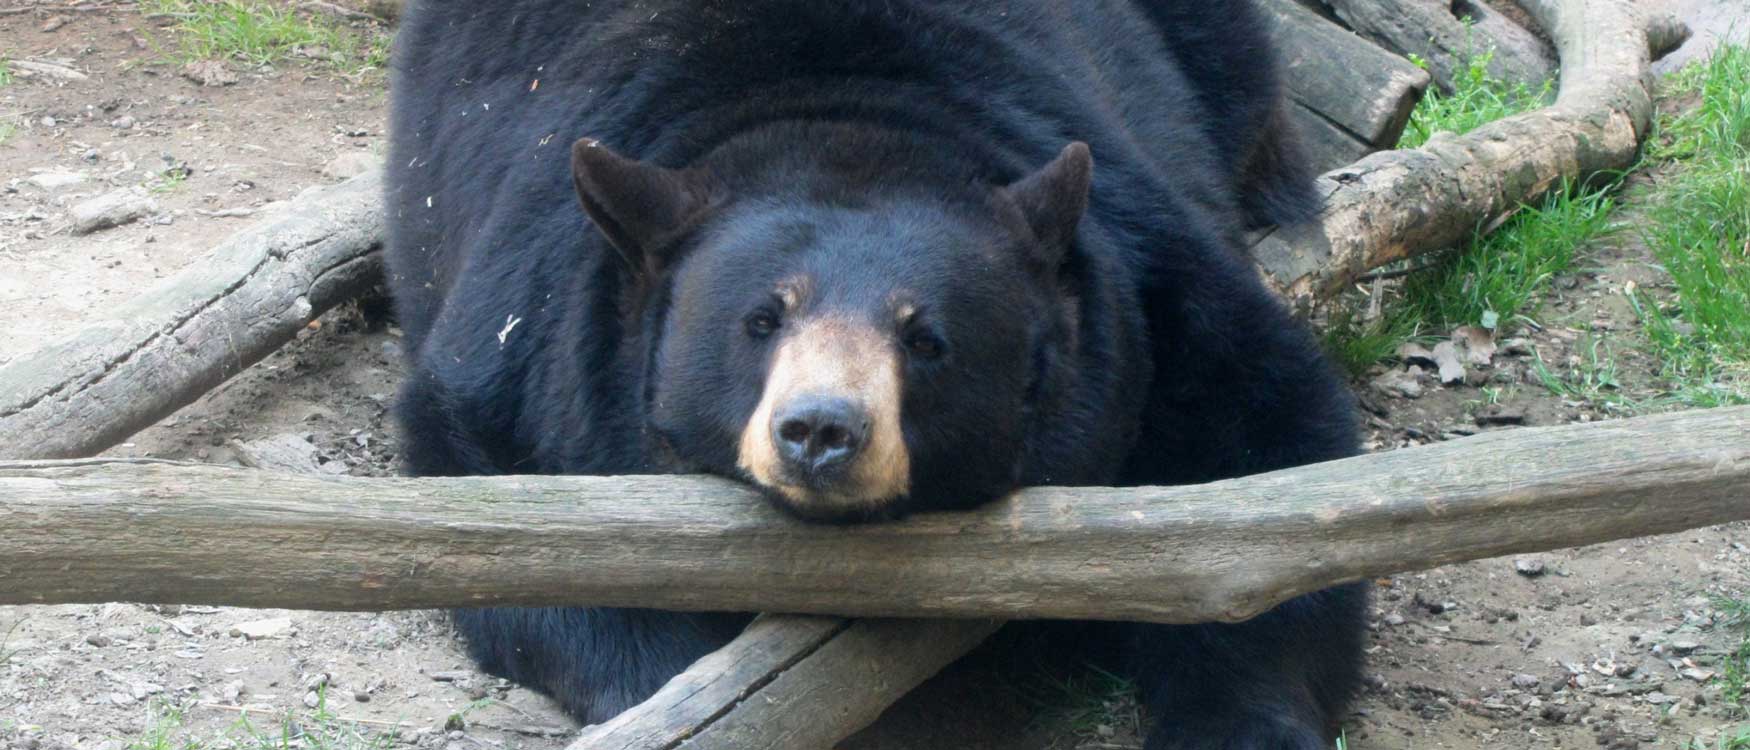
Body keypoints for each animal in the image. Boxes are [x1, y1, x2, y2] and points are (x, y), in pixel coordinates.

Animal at [384, 1, 1369, 747]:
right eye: (762, 320)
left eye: (926, 339)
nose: (821, 431)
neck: (836, 113)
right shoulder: (530, 331)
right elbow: (516, 536)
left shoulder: (1151, 281)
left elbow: (1265, 461)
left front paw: (1243, 721)